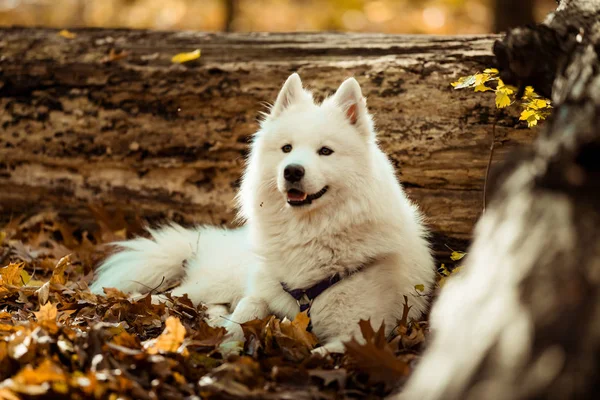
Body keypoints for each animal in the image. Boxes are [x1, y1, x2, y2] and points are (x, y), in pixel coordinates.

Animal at [90, 72, 436, 354]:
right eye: (287, 148)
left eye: (325, 151)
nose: (292, 171)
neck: (310, 234)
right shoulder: (262, 289)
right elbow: (247, 309)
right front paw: (226, 338)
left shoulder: (361, 333)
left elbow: (320, 353)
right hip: (221, 278)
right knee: (177, 293)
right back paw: (136, 303)